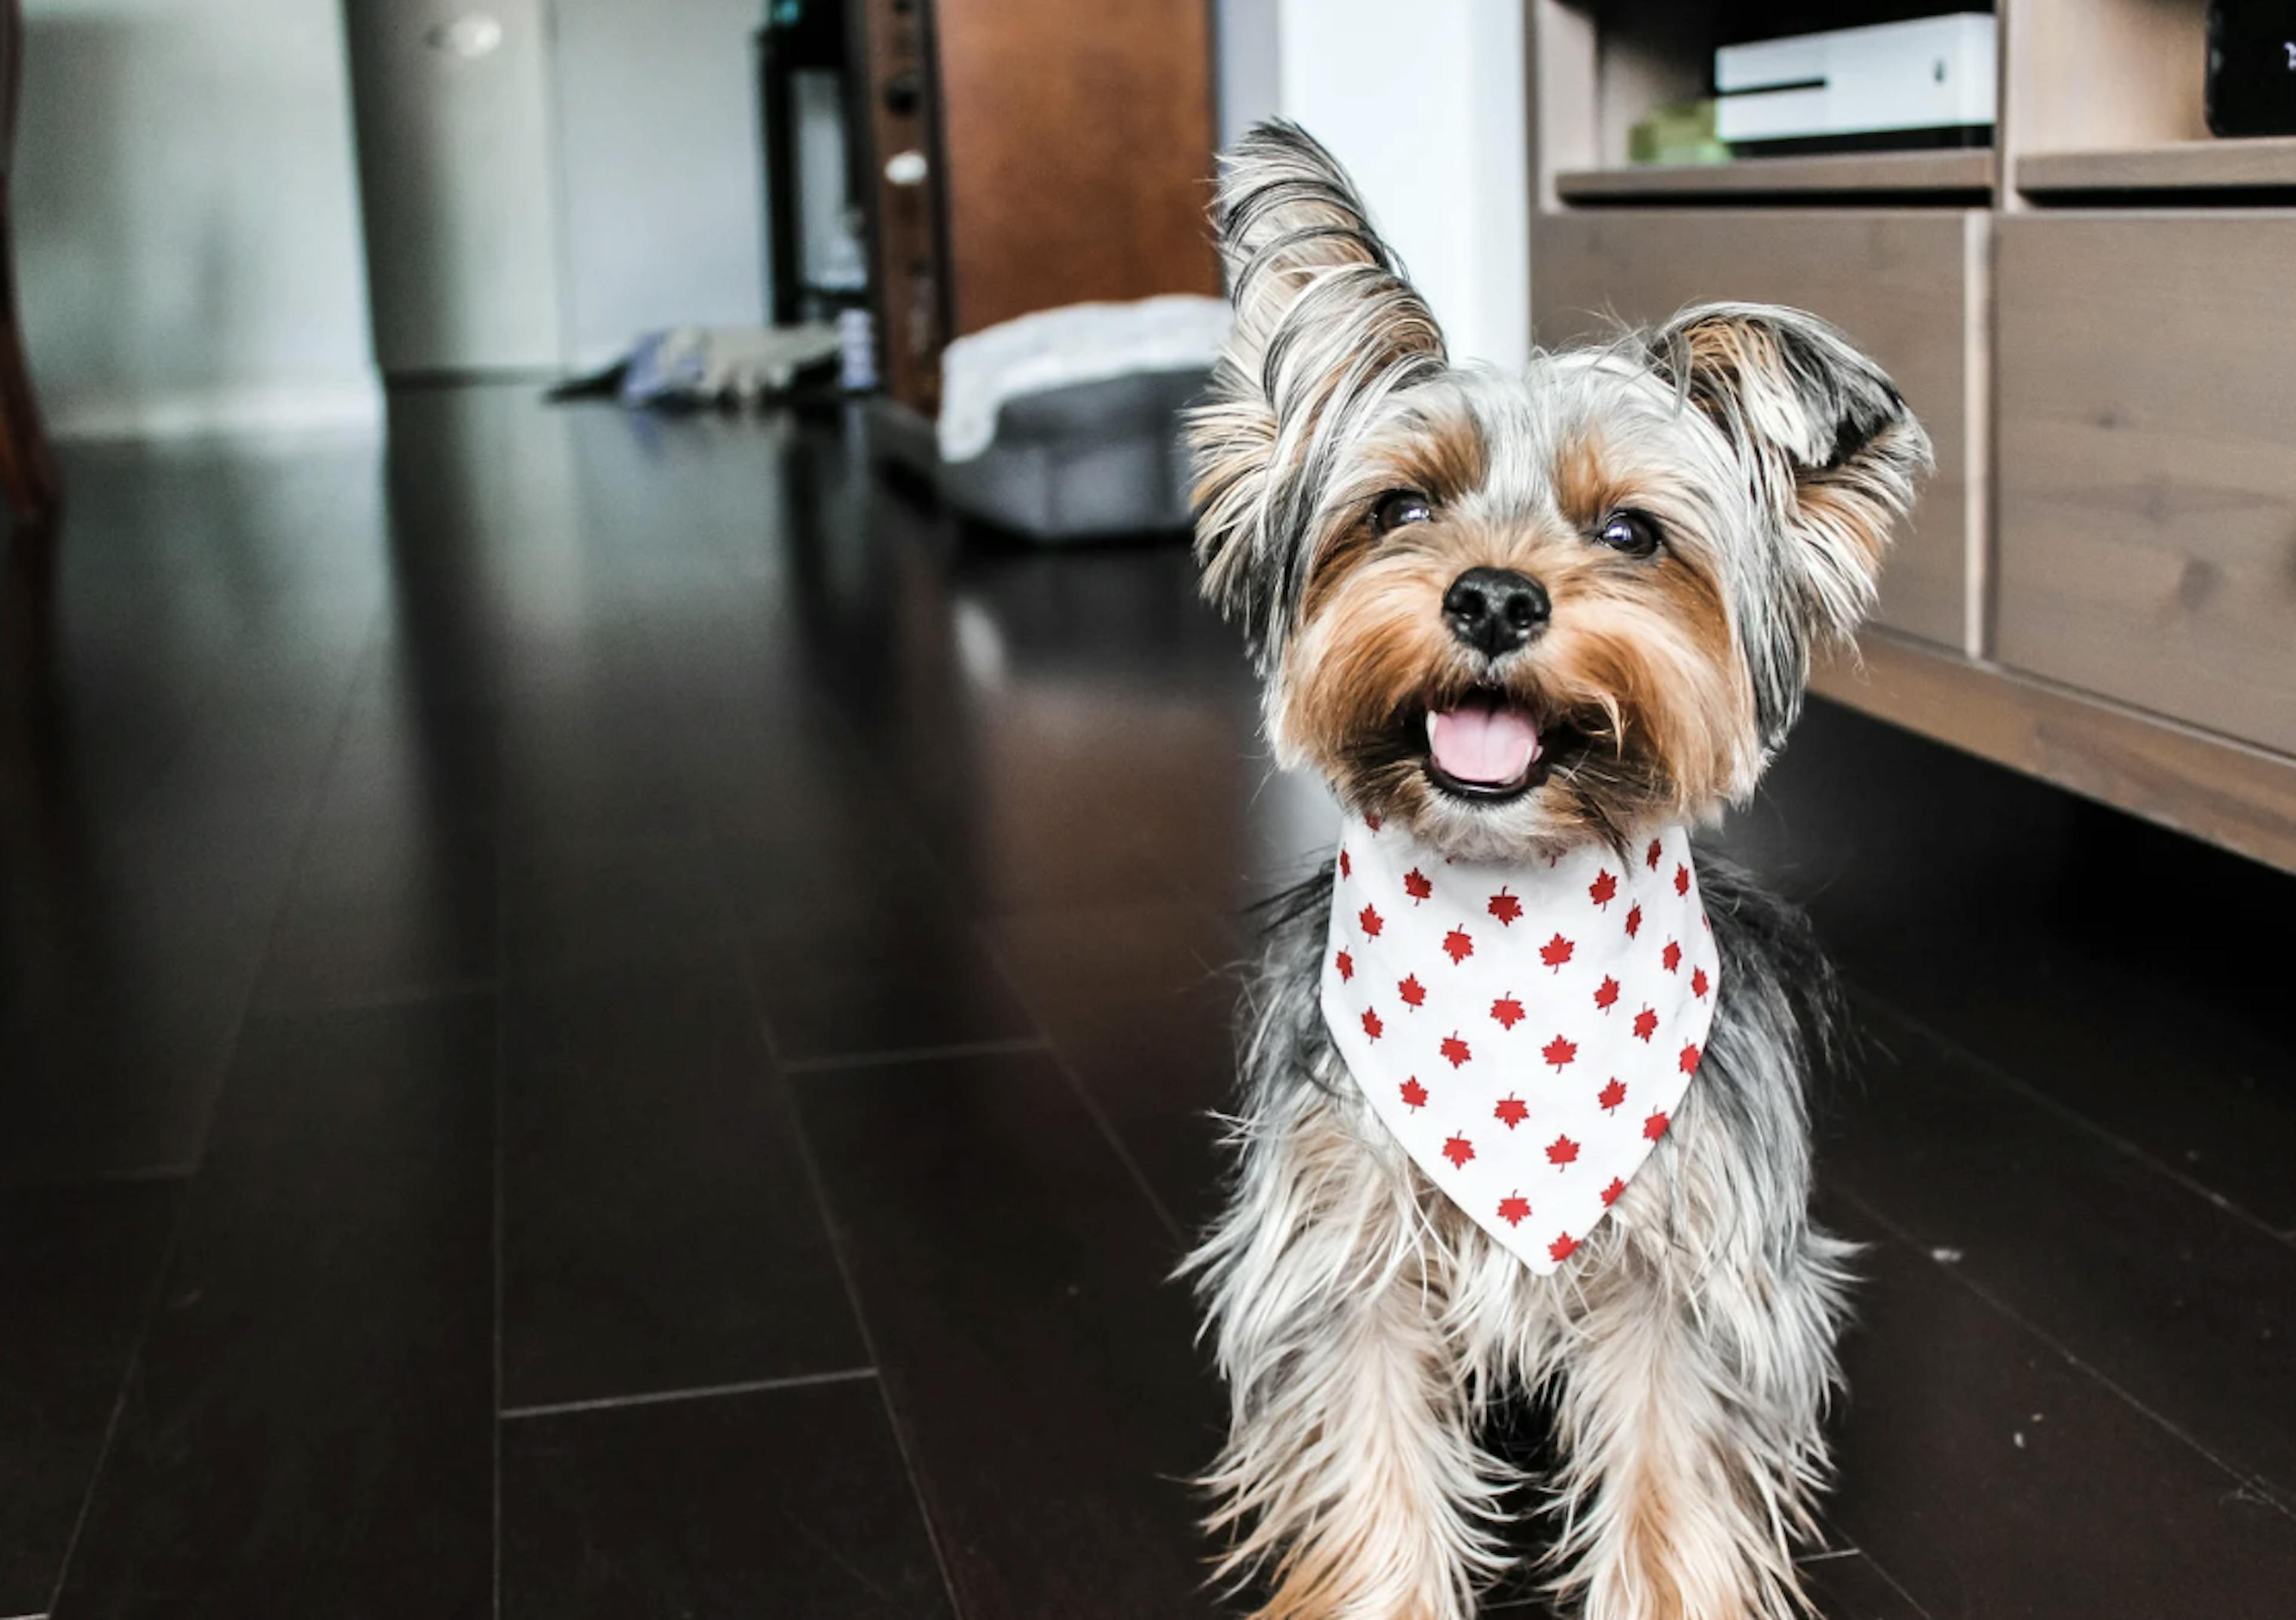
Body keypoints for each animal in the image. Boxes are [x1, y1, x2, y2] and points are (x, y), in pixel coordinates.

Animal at [1184, 126, 1919, 1618]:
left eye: (1631, 532)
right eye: (1398, 507)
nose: (1492, 597)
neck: (1512, 901)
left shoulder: (1685, 1273)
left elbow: (1669, 1491)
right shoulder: (1347, 1253)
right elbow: (1377, 1478)